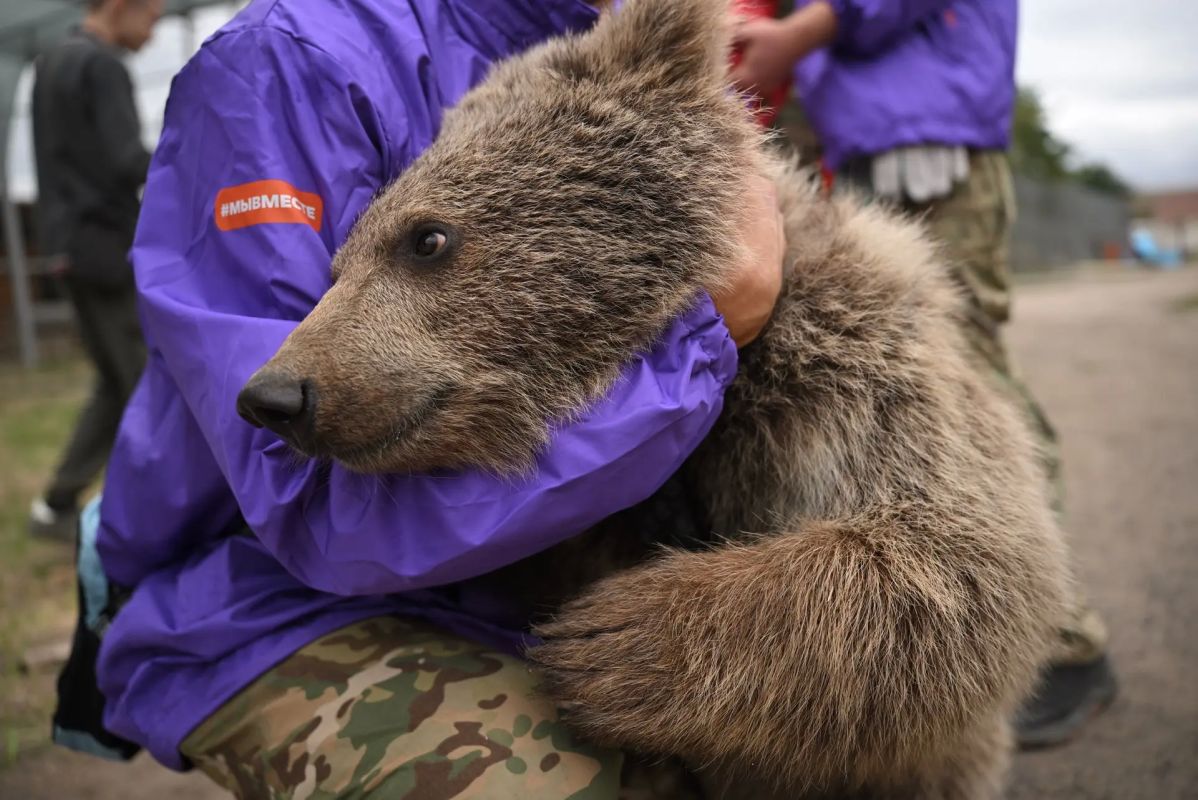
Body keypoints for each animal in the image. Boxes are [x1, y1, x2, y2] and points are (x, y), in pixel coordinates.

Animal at [237, 0, 1069, 796]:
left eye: (427, 238)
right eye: (339, 261)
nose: (275, 394)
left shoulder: (860, 385)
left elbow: (966, 560)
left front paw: (613, 642)